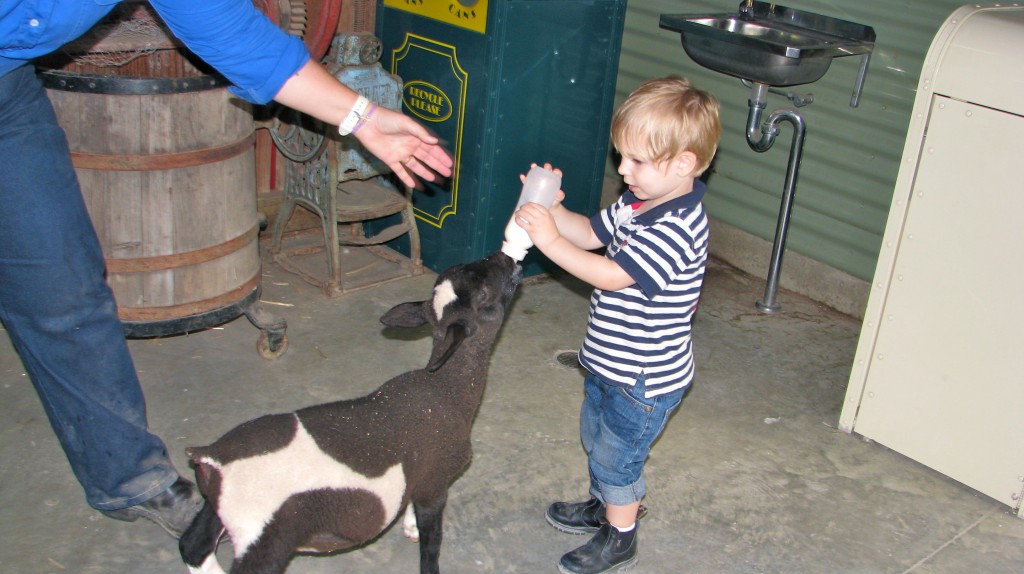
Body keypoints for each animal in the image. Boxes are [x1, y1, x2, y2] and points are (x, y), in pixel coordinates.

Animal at [177, 251, 524, 572]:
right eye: (484, 294)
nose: (506, 258)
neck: (447, 388)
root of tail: (210, 458)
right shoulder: (436, 482)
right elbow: (432, 546)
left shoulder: (422, 479)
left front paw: (409, 526)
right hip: (263, 535)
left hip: (217, 507)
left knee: (192, 545)